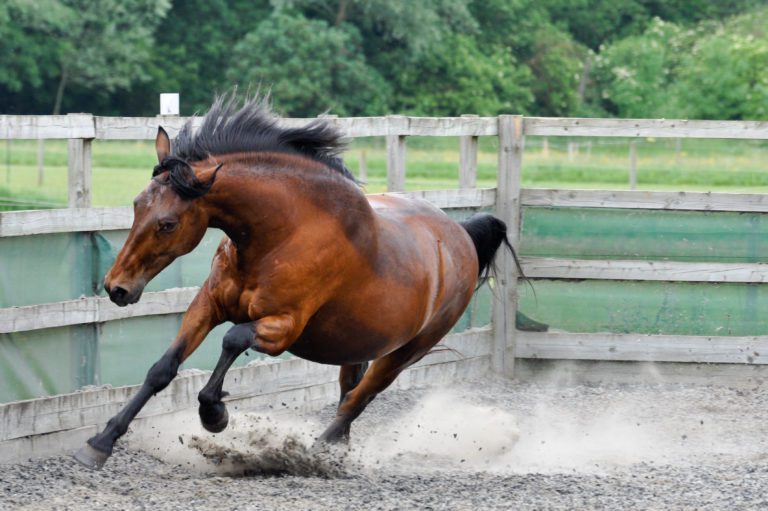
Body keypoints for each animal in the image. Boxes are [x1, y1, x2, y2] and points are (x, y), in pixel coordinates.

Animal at [73, 96, 518, 470]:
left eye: (167, 223)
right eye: (136, 204)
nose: (117, 288)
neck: (283, 234)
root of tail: (463, 236)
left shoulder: (282, 327)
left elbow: (232, 339)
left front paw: (214, 414)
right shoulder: (207, 305)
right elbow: (162, 369)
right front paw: (101, 442)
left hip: (407, 351)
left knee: (360, 397)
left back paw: (316, 453)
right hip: (356, 344)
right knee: (349, 391)